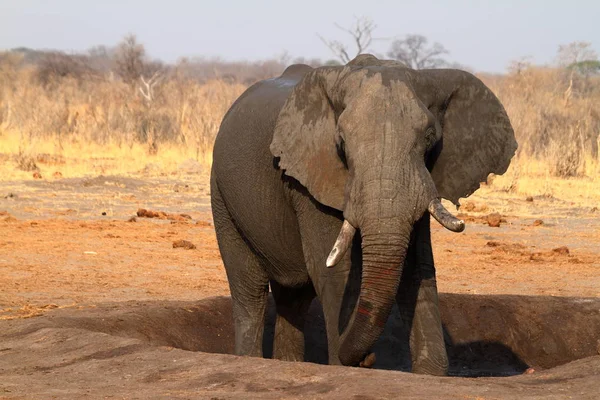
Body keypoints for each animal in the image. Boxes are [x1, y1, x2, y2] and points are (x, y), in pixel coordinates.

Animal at [210, 53, 516, 376]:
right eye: (342, 142)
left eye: (429, 137)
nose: (369, 358)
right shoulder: (311, 181)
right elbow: (335, 270)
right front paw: (346, 363)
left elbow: (417, 266)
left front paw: (430, 373)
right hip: (221, 195)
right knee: (249, 289)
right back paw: (250, 357)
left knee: (293, 299)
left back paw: (287, 363)